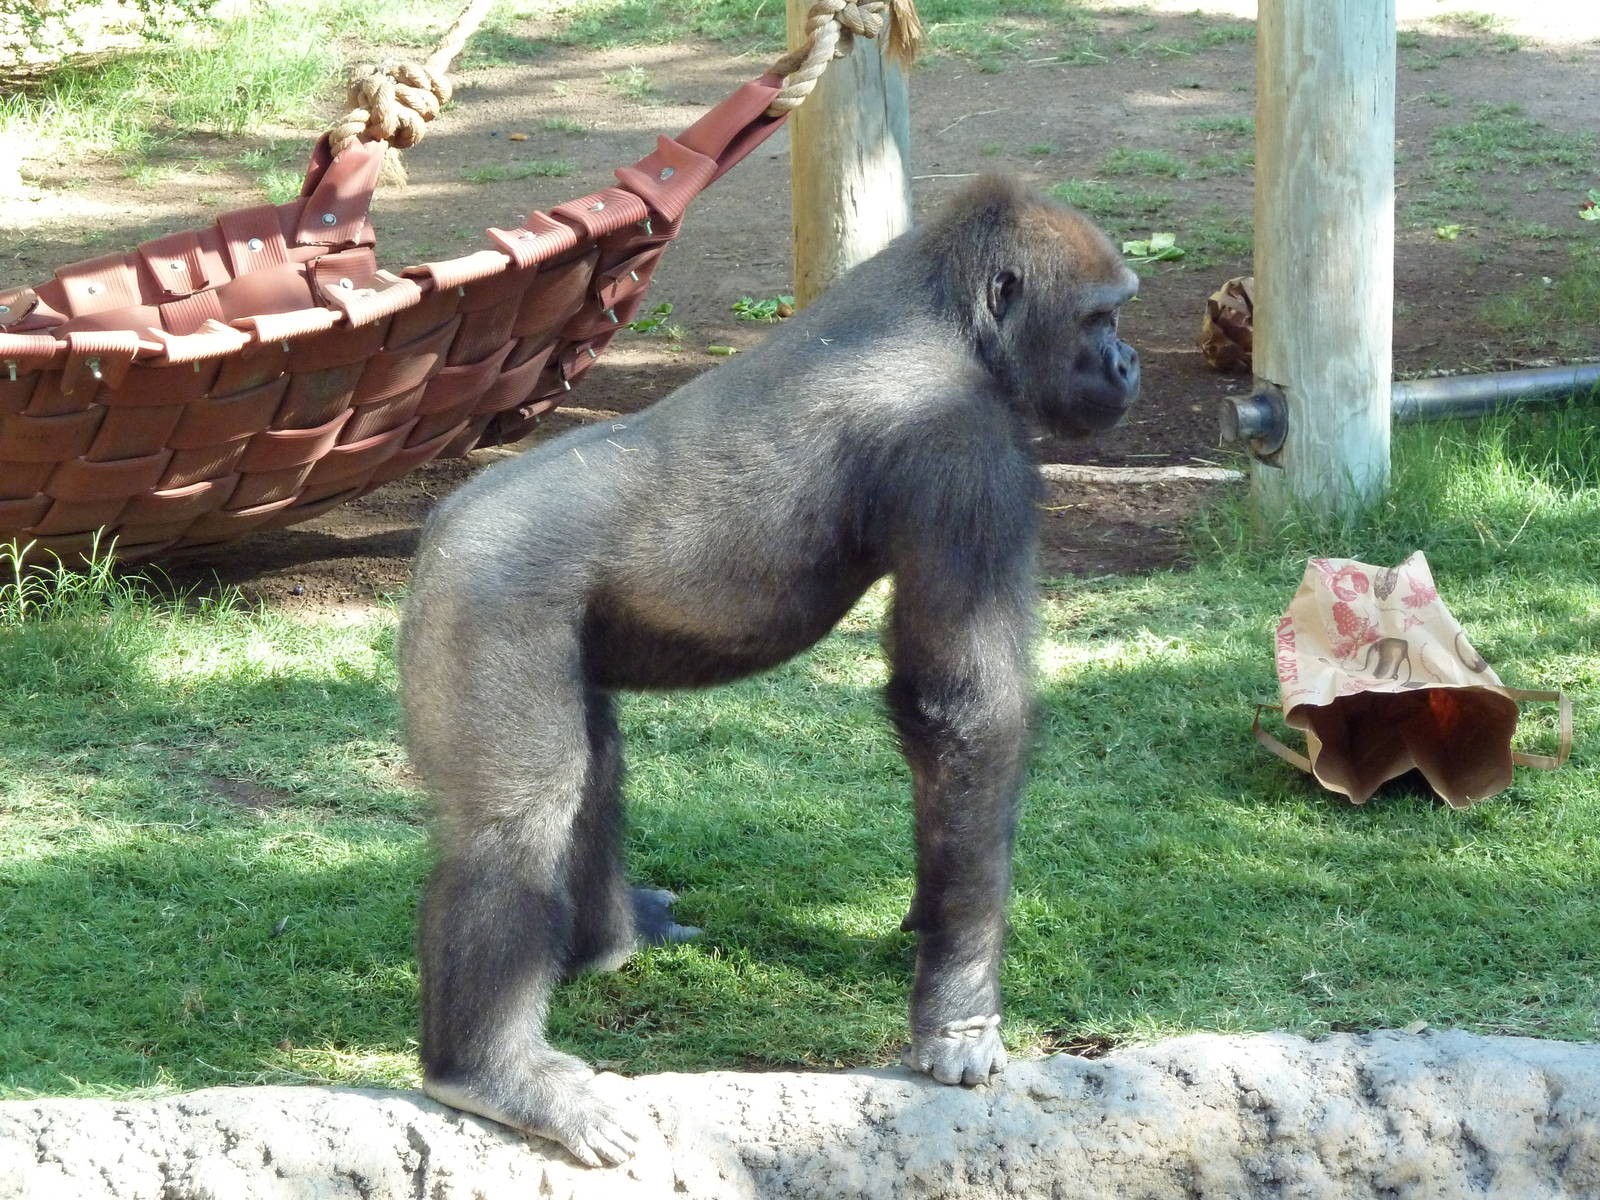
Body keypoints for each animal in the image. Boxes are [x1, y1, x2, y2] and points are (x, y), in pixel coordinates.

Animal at [397, 175, 1141, 1166]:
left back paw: (610, 943)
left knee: (590, 764)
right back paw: (490, 1073)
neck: (947, 313)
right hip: (484, 595)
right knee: (515, 820)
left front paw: (932, 925)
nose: (1129, 363)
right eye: (1100, 316)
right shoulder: (963, 448)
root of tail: (439, 527)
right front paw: (961, 1011)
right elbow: (966, 711)